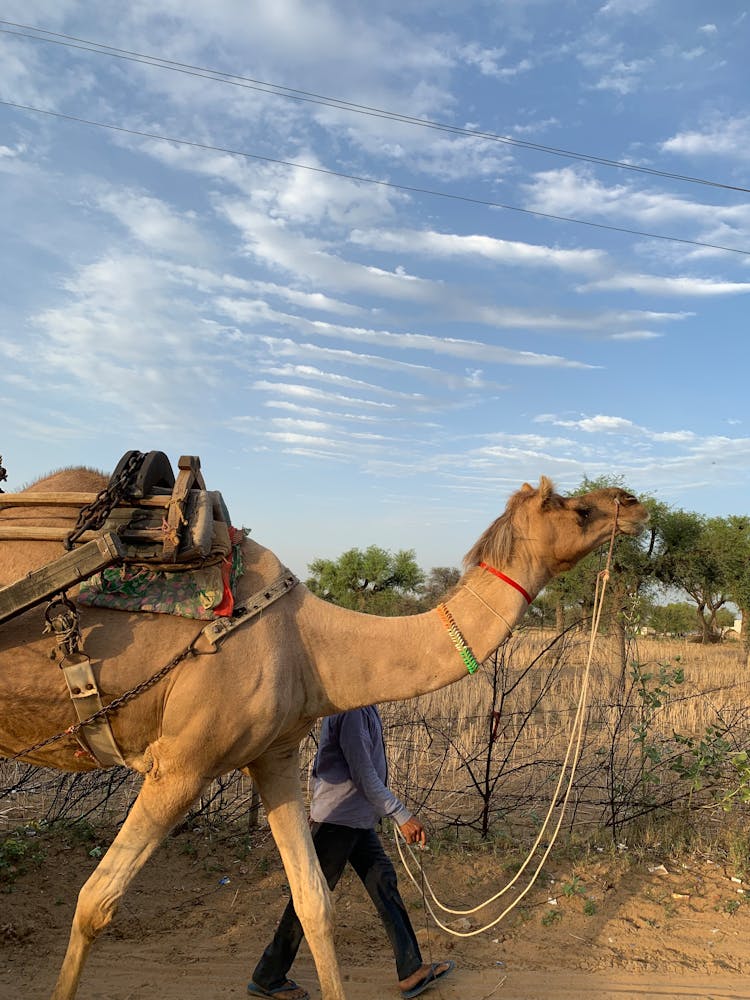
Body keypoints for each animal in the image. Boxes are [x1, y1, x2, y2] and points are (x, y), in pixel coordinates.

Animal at [0, 468, 652, 1000]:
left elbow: (314, 902)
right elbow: (95, 902)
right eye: (576, 508)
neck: (310, 644)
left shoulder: (275, 755)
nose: (632, 500)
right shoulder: (181, 764)